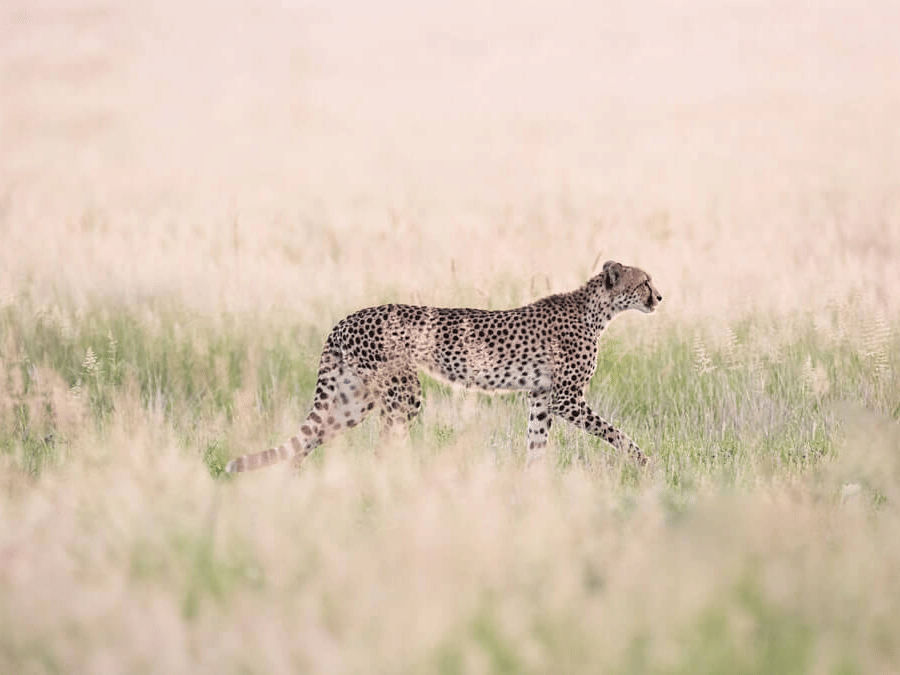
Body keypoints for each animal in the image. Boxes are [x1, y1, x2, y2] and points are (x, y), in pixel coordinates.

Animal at [225, 260, 662, 473]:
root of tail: (349, 317)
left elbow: (536, 446)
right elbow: (617, 434)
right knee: (384, 445)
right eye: (644, 281)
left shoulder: (540, 399)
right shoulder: (566, 399)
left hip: (355, 399)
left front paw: (532, 488)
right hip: (403, 392)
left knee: (310, 440)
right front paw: (645, 464)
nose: (659, 297)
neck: (598, 310)